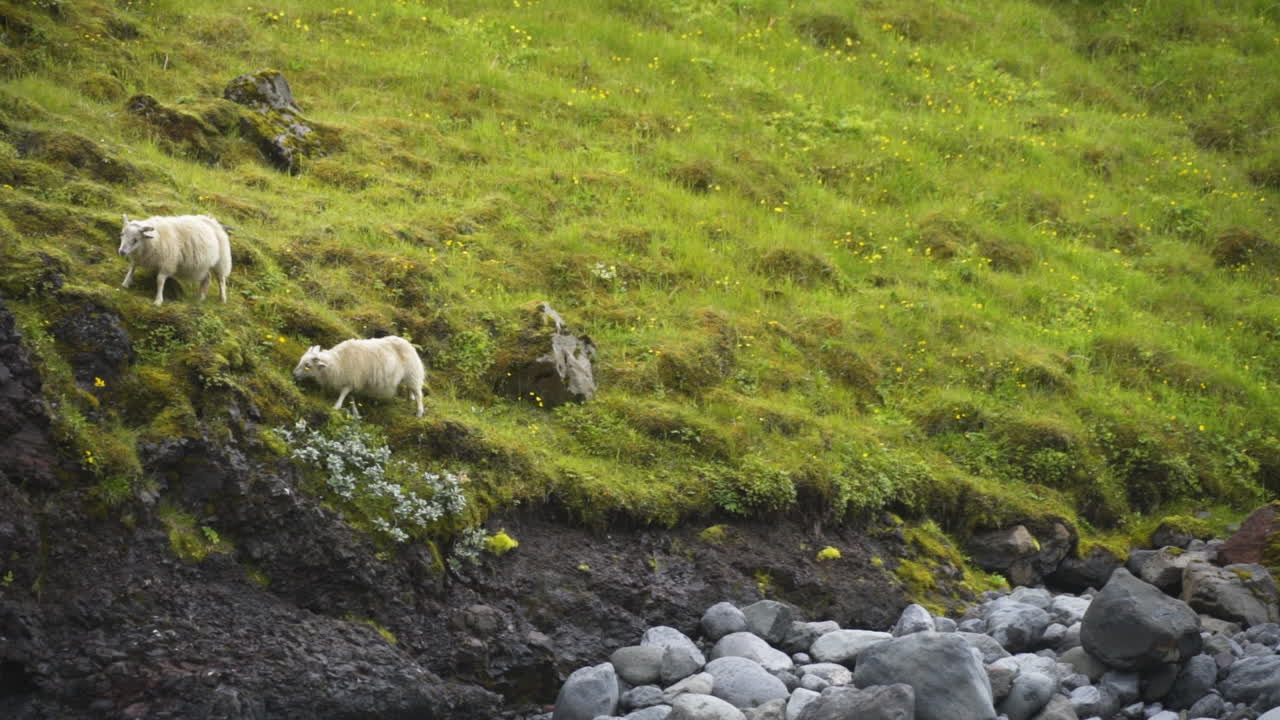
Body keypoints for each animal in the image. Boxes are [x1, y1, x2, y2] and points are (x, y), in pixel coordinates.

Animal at [293, 336, 425, 417]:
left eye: (307, 366)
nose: (294, 374)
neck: (337, 362)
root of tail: (409, 344)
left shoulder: (352, 378)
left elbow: (344, 393)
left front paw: (337, 406)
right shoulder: (353, 381)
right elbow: (351, 396)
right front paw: (355, 412)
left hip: (413, 373)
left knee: (418, 393)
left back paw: (419, 412)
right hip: (407, 377)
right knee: (410, 389)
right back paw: (410, 399)